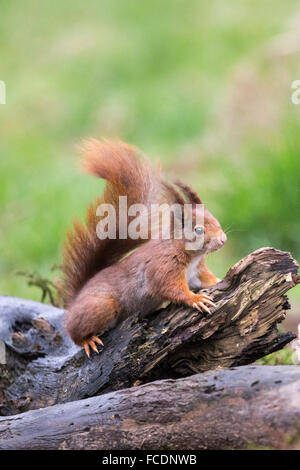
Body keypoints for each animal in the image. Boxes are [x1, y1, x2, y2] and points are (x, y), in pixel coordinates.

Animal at [62, 139, 227, 356]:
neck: (192, 255)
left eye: (215, 220)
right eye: (198, 229)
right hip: (101, 306)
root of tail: (75, 301)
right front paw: (195, 299)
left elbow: (203, 280)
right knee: (74, 332)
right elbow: (170, 287)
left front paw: (219, 280)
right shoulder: (163, 265)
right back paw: (87, 340)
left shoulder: (195, 272)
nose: (223, 239)